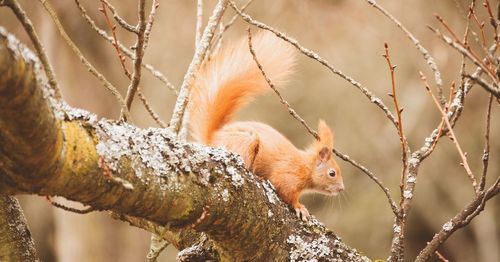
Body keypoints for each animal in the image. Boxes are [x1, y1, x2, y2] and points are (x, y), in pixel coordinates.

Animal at [188, 31, 344, 221]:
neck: (306, 166)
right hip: (246, 142)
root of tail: (213, 137)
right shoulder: (288, 175)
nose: (341, 189)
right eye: (332, 173)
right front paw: (299, 207)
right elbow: (284, 190)